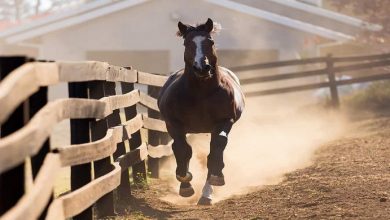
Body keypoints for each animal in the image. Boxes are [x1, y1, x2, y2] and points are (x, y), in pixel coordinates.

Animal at [158, 18, 244, 205]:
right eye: (187, 43)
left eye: (210, 42)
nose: (202, 67)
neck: (200, 94)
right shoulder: (174, 123)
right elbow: (182, 149)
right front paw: (185, 184)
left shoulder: (224, 120)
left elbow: (217, 147)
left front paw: (217, 177)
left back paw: (206, 194)